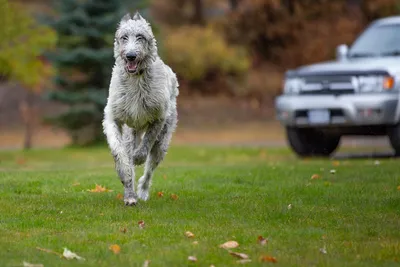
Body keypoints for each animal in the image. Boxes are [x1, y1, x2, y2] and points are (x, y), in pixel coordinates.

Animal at [103, 12, 178, 207]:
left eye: (140, 37)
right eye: (124, 37)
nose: (130, 55)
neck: (135, 78)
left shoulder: (158, 117)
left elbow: (148, 141)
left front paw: (139, 157)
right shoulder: (114, 116)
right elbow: (119, 151)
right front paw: (123, 168)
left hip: (163, 140)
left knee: (150, 169)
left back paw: (142, 191)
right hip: (131, 132)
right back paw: (130, 195)